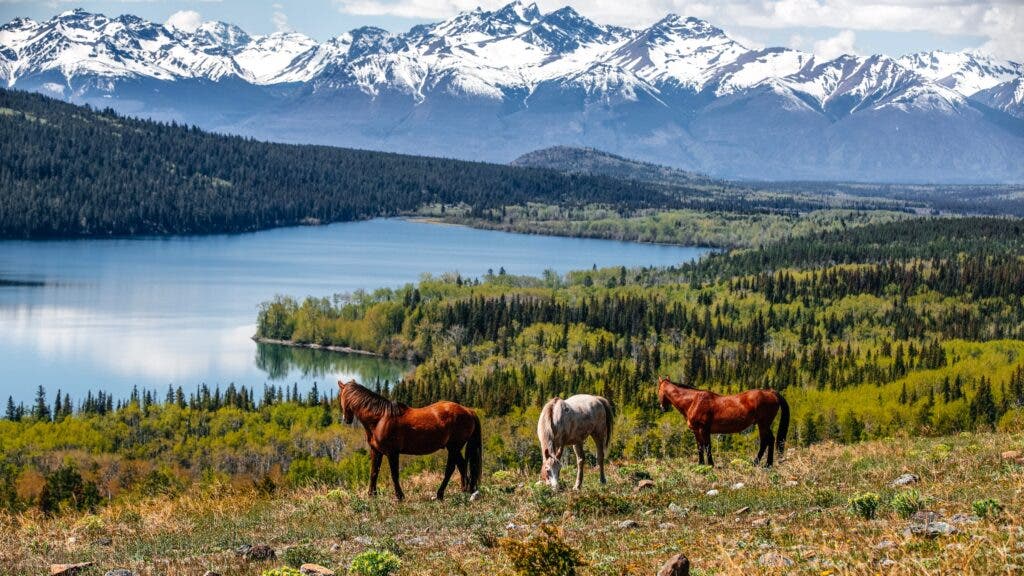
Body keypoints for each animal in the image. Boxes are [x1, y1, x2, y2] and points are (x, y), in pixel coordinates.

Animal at [337, 379, 482, 501]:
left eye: (341, 397)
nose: (346, 419)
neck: (380, 419)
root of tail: (469, 411)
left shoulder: (392, 453)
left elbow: (394, 474)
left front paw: (400, 496)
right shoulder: (376, 451)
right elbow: (374, 472)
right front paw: (372, 495)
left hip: (453, 447)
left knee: (451, 468)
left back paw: (440, 494)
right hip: (454, 448)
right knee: (461, 465)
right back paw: (464, 490)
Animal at [657, 376, 789, 467]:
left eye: (658, 390)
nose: (663, 408)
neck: (693, 401)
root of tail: (771, 392)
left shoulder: (704, 429)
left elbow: (707, 446)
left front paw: (710, 464)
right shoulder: (696, 431)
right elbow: (700, 446)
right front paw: (701, 464)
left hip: (763, 424)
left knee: (766, 441)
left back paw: (759, 463)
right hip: (764, 424)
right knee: (769, 440)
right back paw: (766, 464)